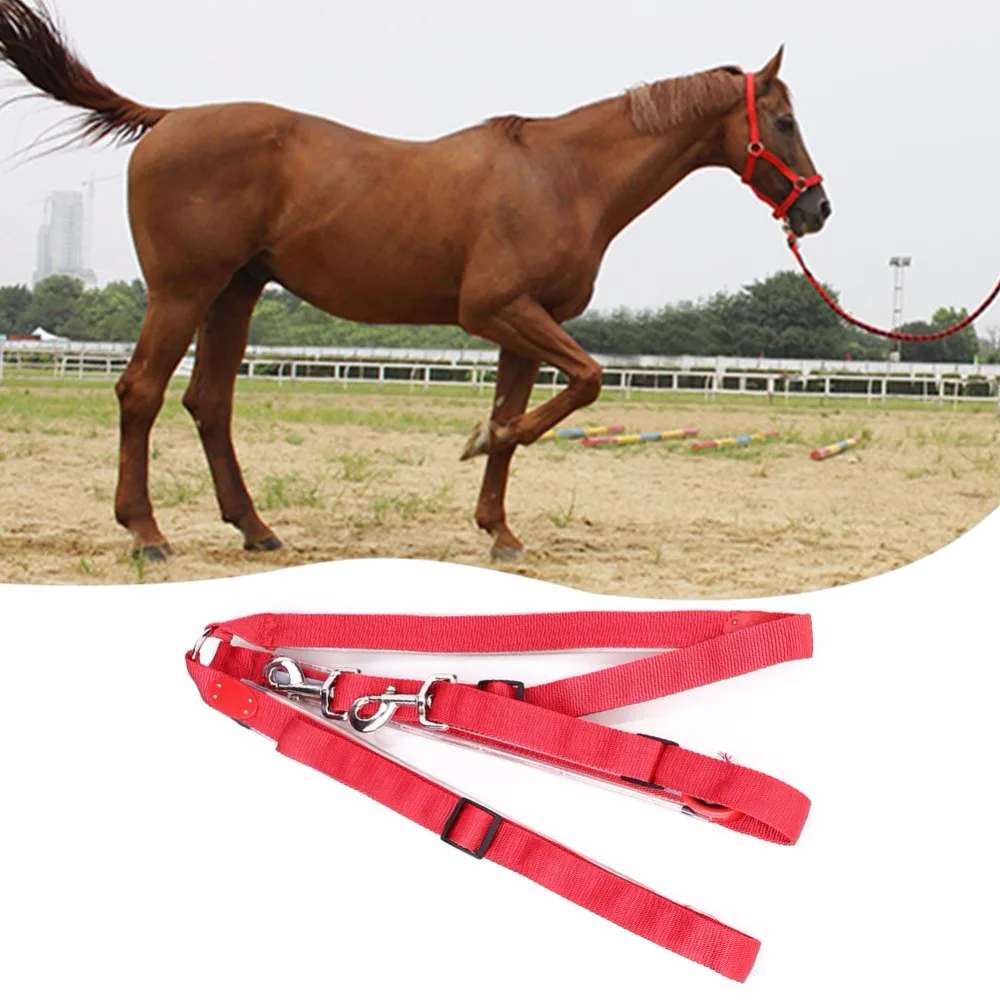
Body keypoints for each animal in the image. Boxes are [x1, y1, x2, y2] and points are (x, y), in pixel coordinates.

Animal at [0, 1, 830, 563]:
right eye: (785, 122)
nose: (817, 209)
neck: (564, 176)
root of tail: (164, 118)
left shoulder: (523, 327)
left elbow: (524, 415)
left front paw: (499, 526)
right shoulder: (497, 310)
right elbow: (584, 383)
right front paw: (479, 444)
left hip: (234, 292)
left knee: (208, 404)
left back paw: (257, 529)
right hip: (183, 290)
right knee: (140, 392)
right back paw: (147, 533)